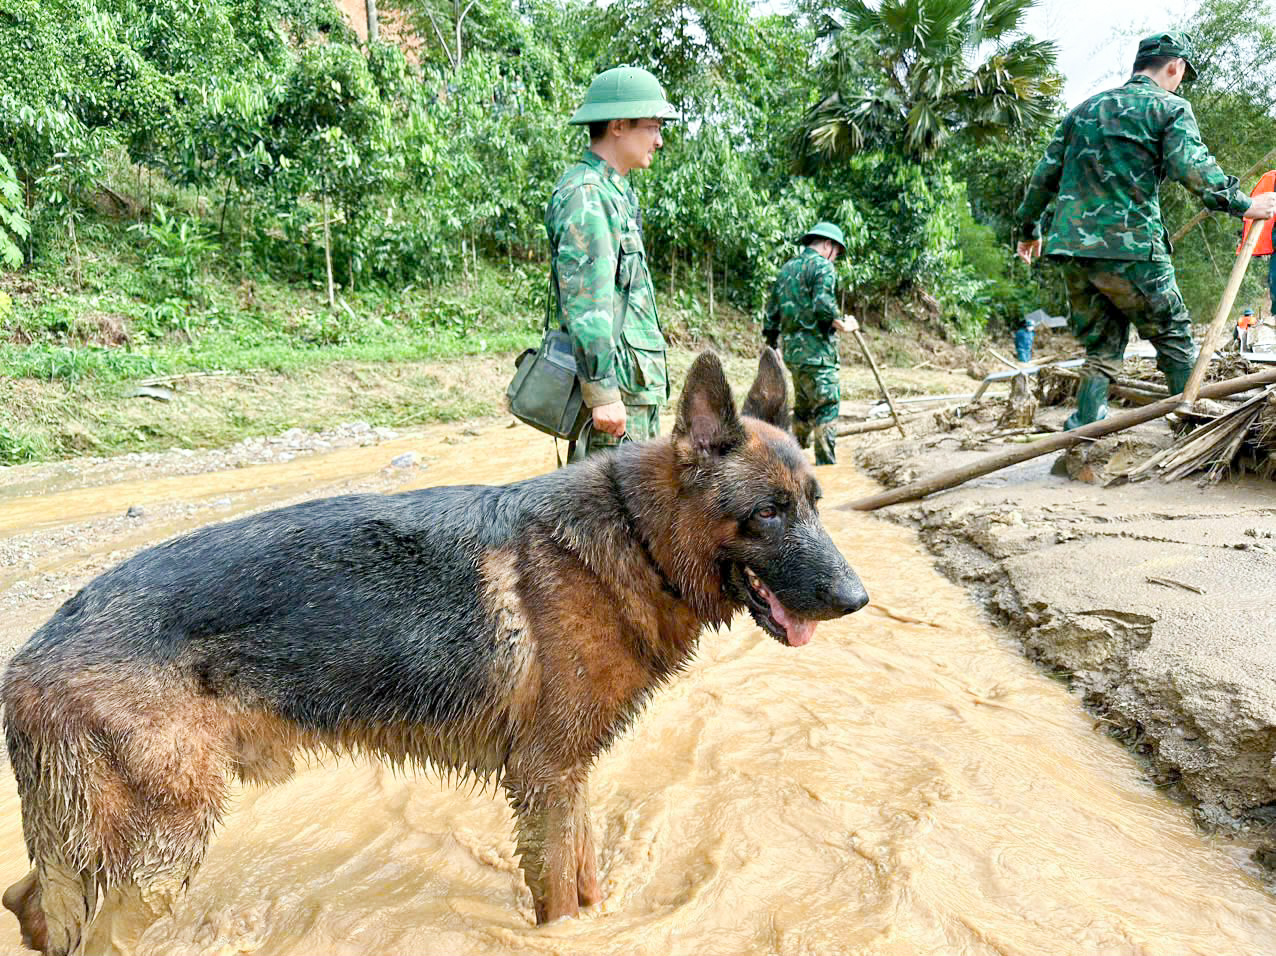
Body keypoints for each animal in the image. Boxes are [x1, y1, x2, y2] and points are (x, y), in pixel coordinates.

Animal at [0, 347, 867, 949]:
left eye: (815, 503)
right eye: (768, 514)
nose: (856, 599)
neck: (634, 536)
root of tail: (28, 657)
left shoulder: (569, 778)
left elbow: (585, 879)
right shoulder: (548, 778)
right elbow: (559, 896)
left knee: (28, 902)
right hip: (161, 853)